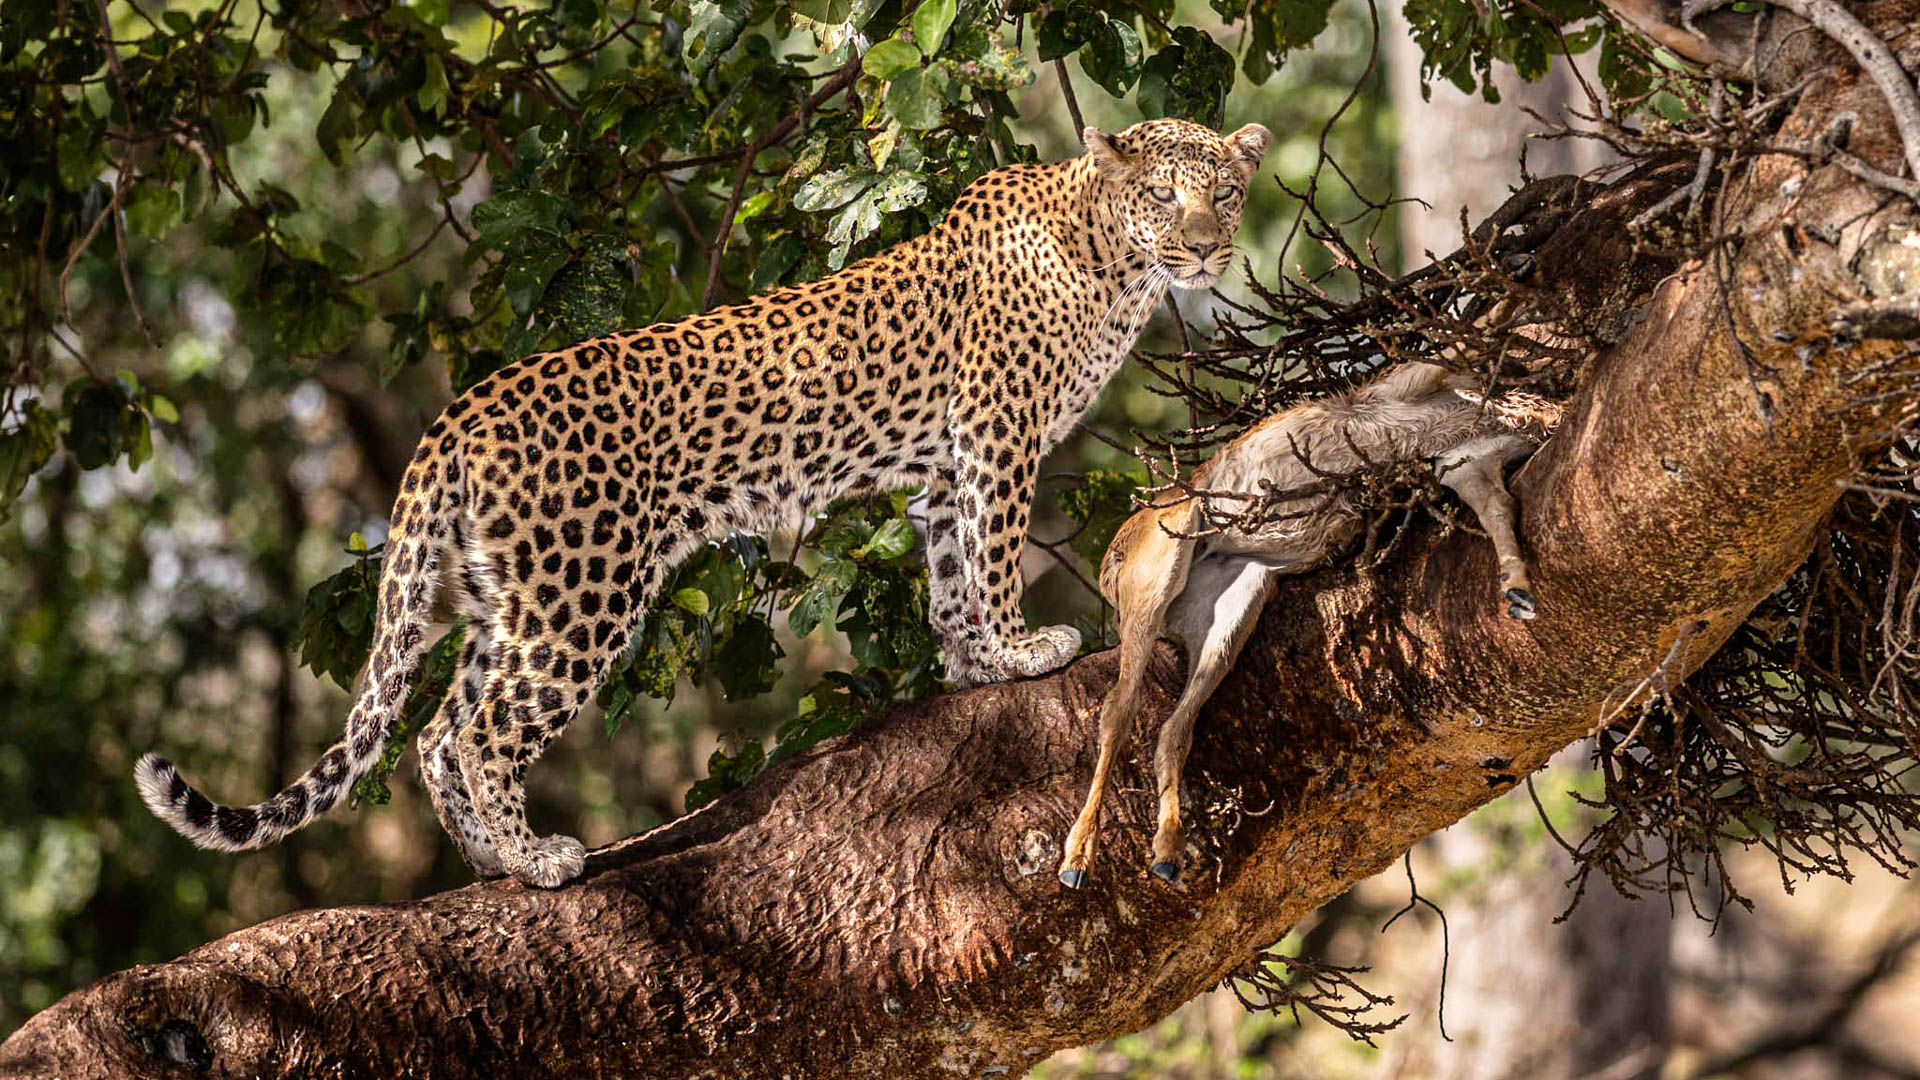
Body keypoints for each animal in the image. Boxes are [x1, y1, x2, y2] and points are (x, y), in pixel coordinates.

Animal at [135, 117, 1274, 888]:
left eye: (1223, 194)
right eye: (1163, 195)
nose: (1208, 249)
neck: (1115, 261)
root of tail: (459, 415)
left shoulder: (947, 465)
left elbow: (950, 567)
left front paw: (973, 662)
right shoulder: (996, 435)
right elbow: (991, 554)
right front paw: (1023, 646)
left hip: (505, 596)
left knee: (435, 731)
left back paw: (489, 861)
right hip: (584, 590)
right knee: (485, 731)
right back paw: (540, 860)